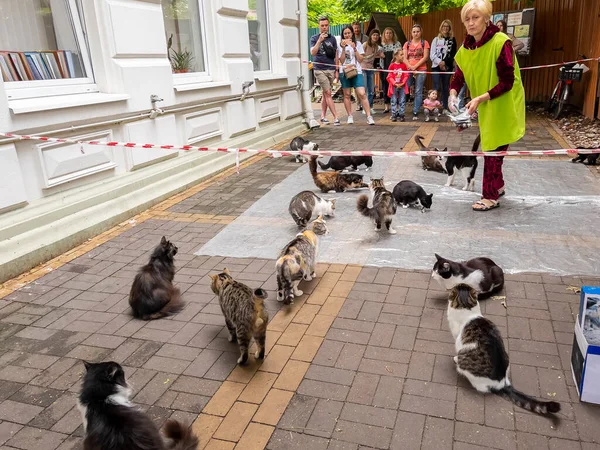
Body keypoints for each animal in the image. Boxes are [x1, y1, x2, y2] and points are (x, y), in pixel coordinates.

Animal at [448, 284, 560, 414]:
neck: (466, 308)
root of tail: (501, 384)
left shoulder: (457, 337)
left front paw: (454, 357)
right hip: (507, 357)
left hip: (465, 364)